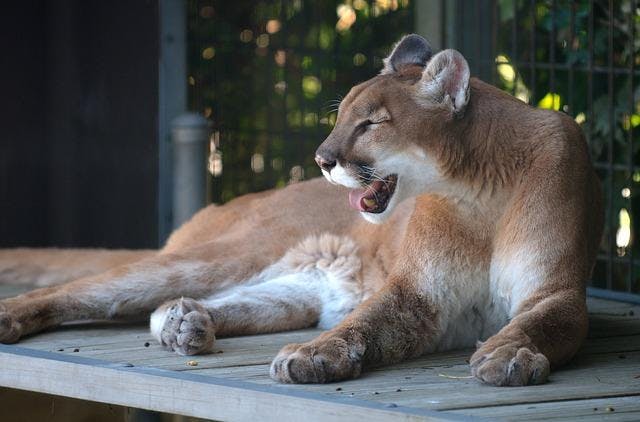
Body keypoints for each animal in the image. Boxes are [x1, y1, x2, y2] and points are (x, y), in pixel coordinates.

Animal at [0, 34, 603, 386]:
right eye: (341, 116)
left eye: (370, 124)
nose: (321, 158)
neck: (475, 195)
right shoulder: (418, 293)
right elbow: (365, 325)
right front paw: (315, 356)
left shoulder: (556, 289)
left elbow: (543, 322)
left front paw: (509, 353)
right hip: (228, 253)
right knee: (84, 290)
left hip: (295, 290)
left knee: (194, 305)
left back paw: (185, 324)